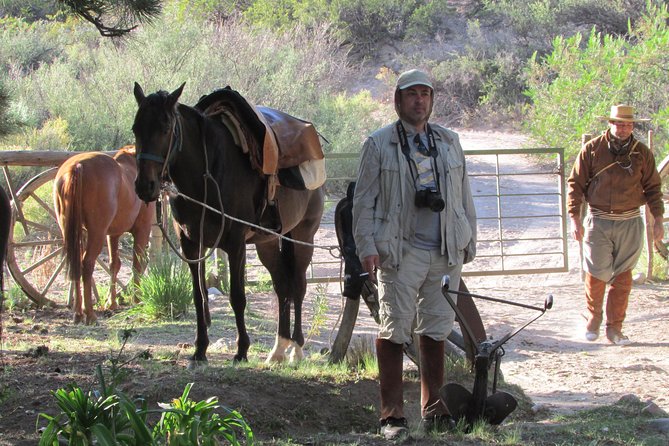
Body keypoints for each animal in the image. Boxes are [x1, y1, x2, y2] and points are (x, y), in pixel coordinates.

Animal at [53, 146, 156, 324]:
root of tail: (77, 166)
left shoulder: (113, 234)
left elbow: (114, 265)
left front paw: (111, 302)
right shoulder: (142, 230)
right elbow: (137, 263)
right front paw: (137, 299)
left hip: (75, 233)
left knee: (76, 265)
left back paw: (78, 312)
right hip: (96, 233)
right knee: (86, 264)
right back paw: (90, 315)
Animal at [131, 82, 324, 365]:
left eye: (165, 128)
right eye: (135, 129)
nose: (145, 186)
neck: (206, 174)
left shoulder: (235, 244)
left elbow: (237, 296)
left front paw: (241, 350)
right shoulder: (191, 244)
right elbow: (198, 296)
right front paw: (200, 350)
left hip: (302, 236)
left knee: (298, 286)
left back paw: (296, 350)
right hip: (267, 242)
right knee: (282, 286)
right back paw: (278, 349)